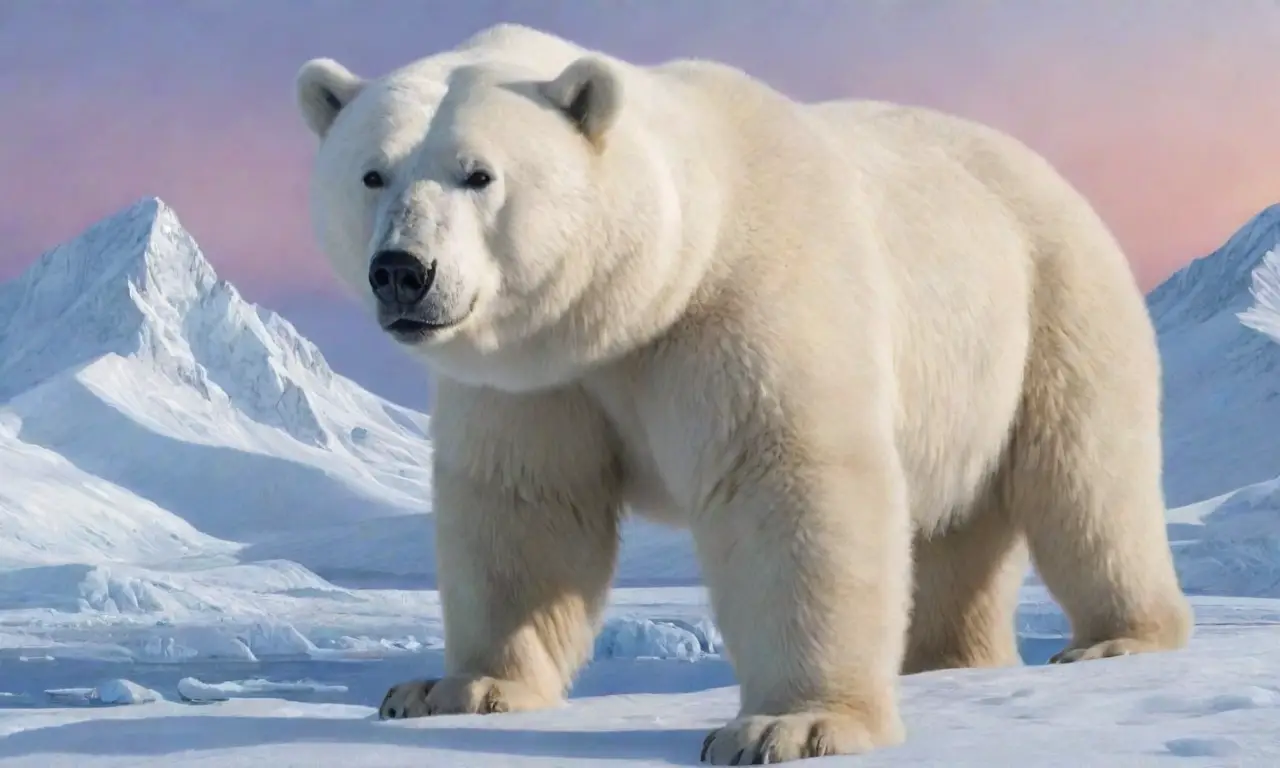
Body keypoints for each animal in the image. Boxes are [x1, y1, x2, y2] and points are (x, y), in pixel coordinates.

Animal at [293, 23, 1193, 764]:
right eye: (372, 173)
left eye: (479, 174)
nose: (403, 272)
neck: (649, 286)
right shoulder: (535, 377)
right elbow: (524, 505)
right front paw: (456, 688)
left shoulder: (745, 305)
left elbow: (786, 480)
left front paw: (793, 725)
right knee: (953, 528)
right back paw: (945, 656)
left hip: (1052, 297)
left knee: (1085, 480)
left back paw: (1119, 640)